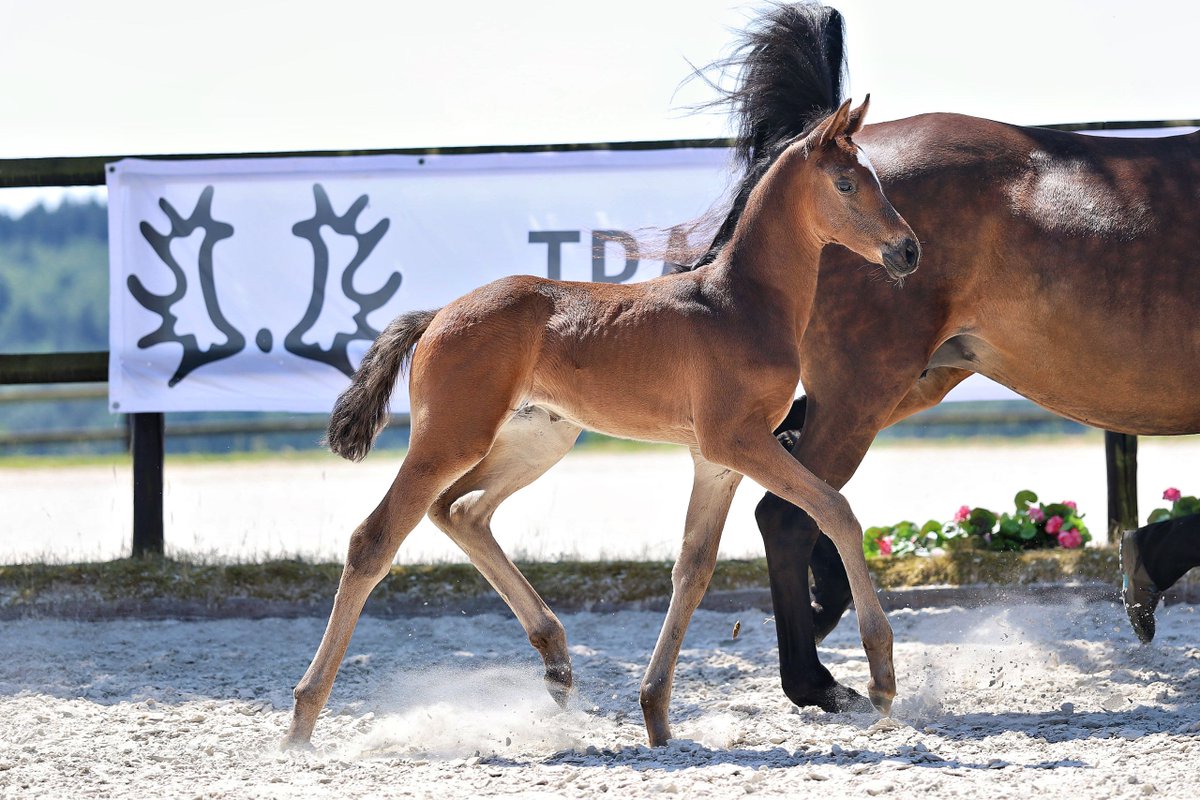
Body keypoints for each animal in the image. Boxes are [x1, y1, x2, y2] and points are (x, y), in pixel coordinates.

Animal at [283, 97, 920, 749]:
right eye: (846, 183)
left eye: (875, 177)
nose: (908, 251)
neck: (741, 302)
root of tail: (438, 314)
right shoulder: (737, 440)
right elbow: (836, 511)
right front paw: (881, 674)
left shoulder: (714, 459)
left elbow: (693, 569)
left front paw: (656, 714)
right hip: (452, 438)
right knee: (375, 538)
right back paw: (303, 718)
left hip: (538, 439)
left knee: (460, 510)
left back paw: (557, 662)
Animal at [691, 3, 1200, 713]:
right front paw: (1147, 565)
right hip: (865, 388)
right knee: (788, 513)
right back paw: (815, 680)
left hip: (907, 381)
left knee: (795, 475)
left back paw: (823, 617)